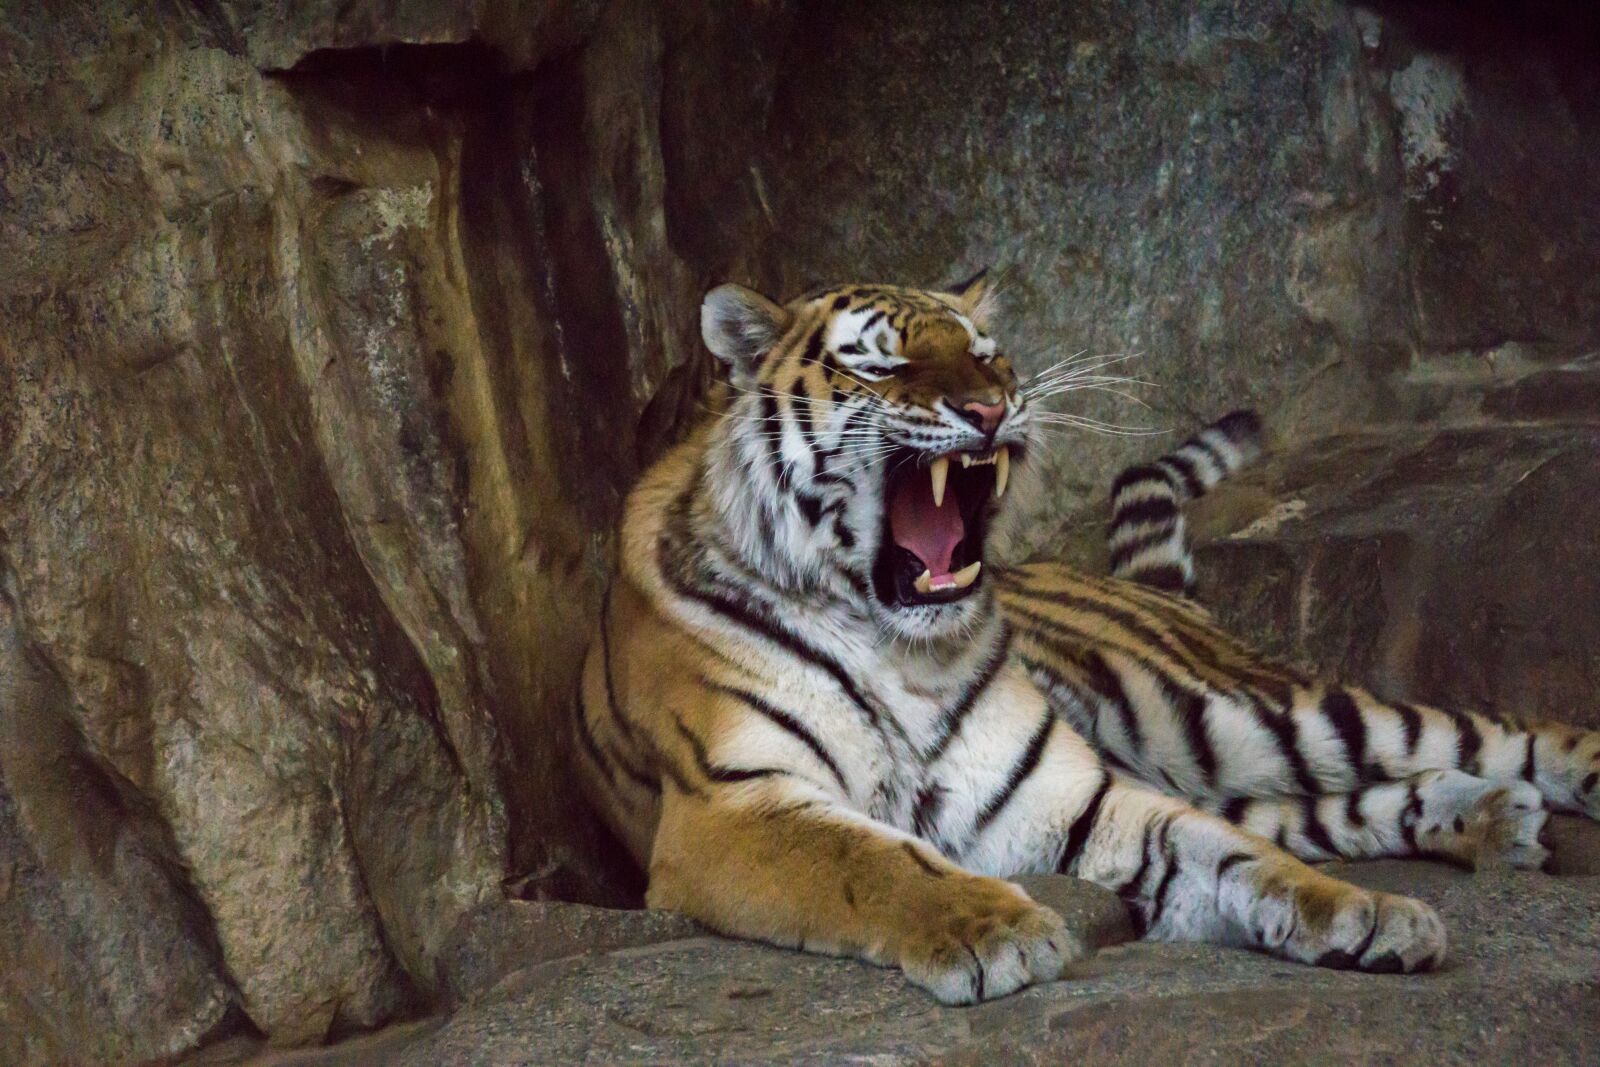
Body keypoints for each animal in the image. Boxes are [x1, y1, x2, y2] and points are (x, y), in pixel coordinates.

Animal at [574, 272, 1600, 1004]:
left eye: (986, 353)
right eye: (878, 363)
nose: (993, 407)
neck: (897, 642)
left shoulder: (1070, 795)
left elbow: (1237, 855)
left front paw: (1361, 910)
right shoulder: (729, 804)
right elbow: (874, 859)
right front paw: (997, 933)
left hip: (1240, 715)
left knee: (1499, 734)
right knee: (1340, 803)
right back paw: (1495, 818)